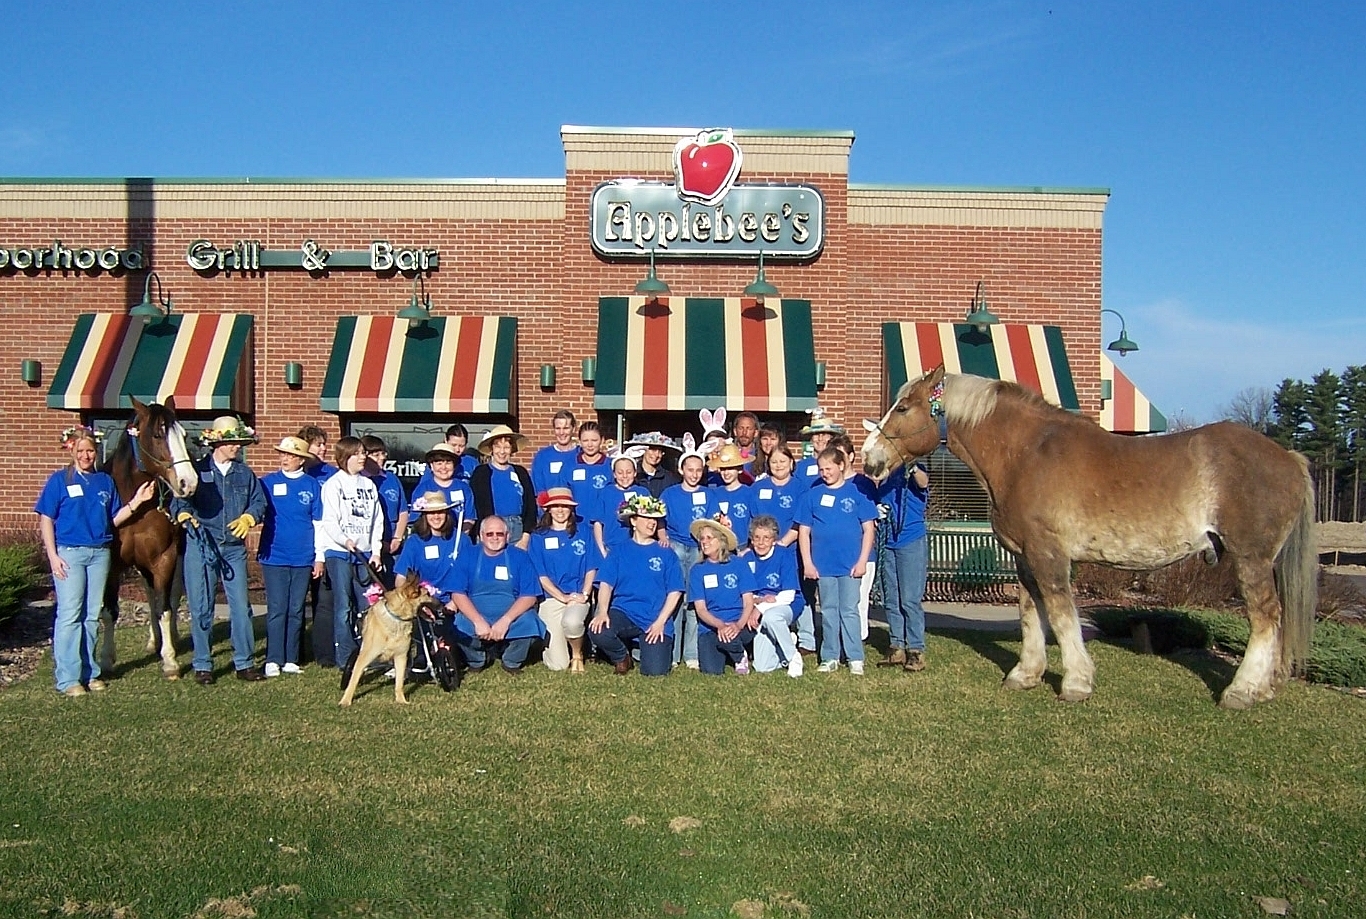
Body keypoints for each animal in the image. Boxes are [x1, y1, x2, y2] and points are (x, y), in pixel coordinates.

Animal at [99, 398, 199, 677]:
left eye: (183, 435)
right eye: (157, 435)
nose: (189, 483)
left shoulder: (165, 557)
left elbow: (165, 607)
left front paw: (170, 660)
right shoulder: (112, 565)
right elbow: (110, 611)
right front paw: (106, 659)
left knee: (169, 596)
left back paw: (170, 639)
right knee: (149, 593)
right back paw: (154, 641)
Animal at [338, 576, 428, 704]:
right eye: (428, 594)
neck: (397, 618)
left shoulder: (401, 656)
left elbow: (399, 683)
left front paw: (401, 701)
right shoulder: (365, 657)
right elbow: (354, 679)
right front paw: (345, 701)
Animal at [857, 365, 1316, 710]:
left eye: (903, 407)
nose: (870, 458)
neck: (1026, 454)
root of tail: (1289, 458)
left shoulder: (1050, 556)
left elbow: (1062, 616)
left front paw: (1076, 682)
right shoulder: (1024, 558)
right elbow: (1032, 615)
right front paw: (1025, 674)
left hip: (1251, 558)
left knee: (1264, 617)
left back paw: (1241, 691)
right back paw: (1264, 688)